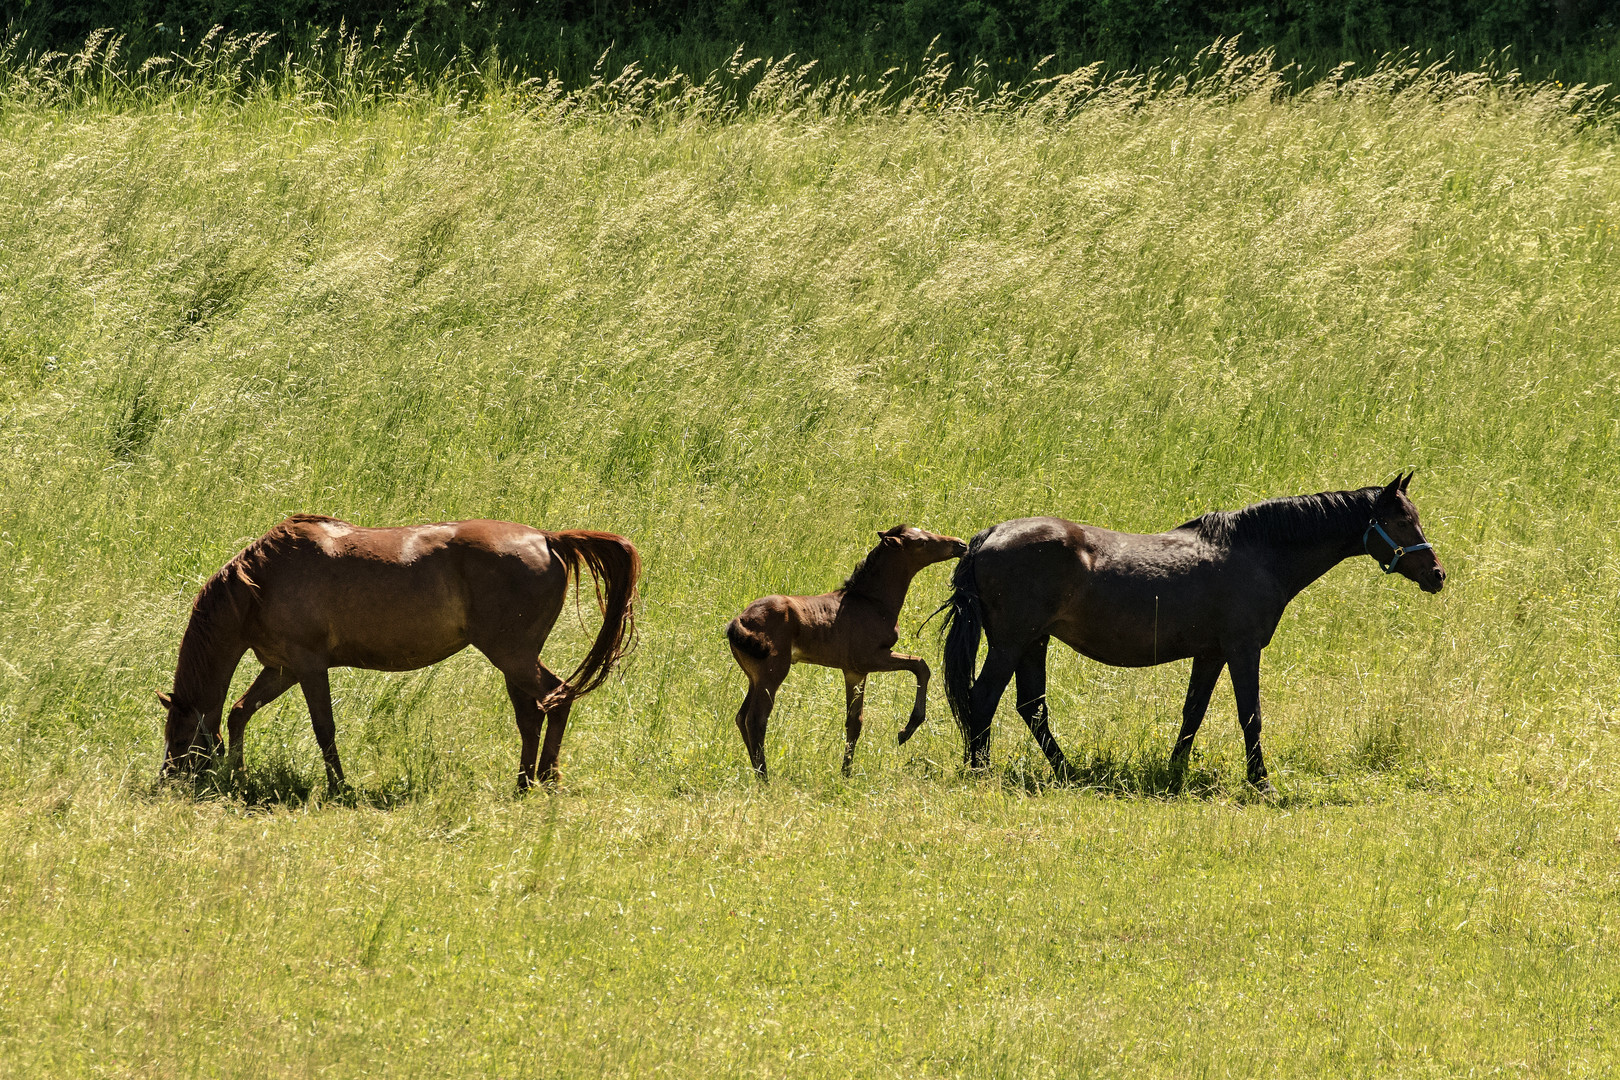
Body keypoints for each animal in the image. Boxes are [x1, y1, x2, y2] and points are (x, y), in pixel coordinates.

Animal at [157, 518, 638, 790]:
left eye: (179, 740)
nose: (169, 783)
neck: (259, 583)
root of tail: (548, 539)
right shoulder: (281, 669)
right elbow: (239, 712)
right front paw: (237, 774)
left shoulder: (308, 666)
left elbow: (324, 729)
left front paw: (340, 789)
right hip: (513, 660)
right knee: (531, 714)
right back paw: (523, 782)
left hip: (513, 656)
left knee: (558, 698)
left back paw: (547, 779)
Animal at [722, 524, 959, 777]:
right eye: (922, 542)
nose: (960, 544)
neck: (872, 602)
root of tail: (740, 621)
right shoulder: (871, 658)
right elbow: (920, 665)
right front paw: (907, 729)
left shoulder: (854, 671)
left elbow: (854, 721)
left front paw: (846, 774)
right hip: (772, 674)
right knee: (756, 719)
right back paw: (765, 778)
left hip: (754, 677)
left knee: (741, 717)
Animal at [946, 476, 1451, 790]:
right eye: (1401, 521)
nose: (1437, 575)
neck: (1257, 552)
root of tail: (989, 535)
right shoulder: (1243, 649)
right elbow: (1251, 716)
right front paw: (1261, 782)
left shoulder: (1211, 654)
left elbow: (1193, 713)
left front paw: (1175, 772)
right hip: (1012, 642)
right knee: (983, 699)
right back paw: (980, 771)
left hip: (1034, 642)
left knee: (1031, 709)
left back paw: (1069, 773)